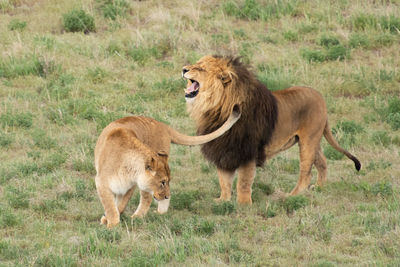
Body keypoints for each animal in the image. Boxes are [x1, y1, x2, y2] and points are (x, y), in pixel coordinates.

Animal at [96, 107, 241, 228]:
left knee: (147, 198)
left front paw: (111, 225)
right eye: (162, 182)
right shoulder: (102, 183)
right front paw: (109, 221)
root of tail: (163, 125)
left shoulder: (130, 186)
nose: (166, 196)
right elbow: (111, 205)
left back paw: (140, 216)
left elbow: (120, 205)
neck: (129, 168)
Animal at [183, 55, 360, 204]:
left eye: (201, 68)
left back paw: (292, 195)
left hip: (308, 141)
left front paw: (243, 204)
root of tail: (320, 97)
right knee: (322, 162)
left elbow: (243, 182)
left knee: (306, 172)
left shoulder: (247, 151)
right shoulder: (222, 147)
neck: (216, 109)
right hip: (312, 140)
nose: (184, 69)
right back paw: (319, 187)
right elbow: (224, 180)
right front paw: (222, 201)